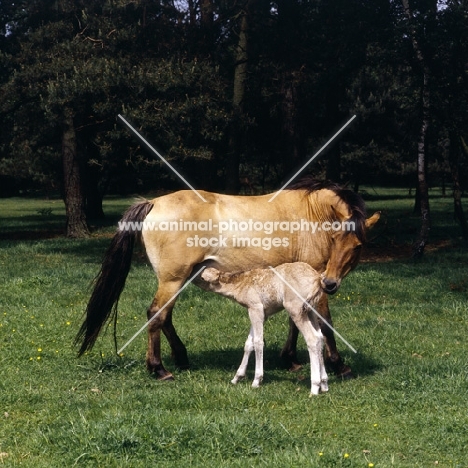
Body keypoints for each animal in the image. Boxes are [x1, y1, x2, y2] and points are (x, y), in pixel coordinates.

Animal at [196, 264, 328, 394]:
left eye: (202, 277)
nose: (194, 279)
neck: (241, 284)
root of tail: (317, 279)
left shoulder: (255, 307)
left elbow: (258, 342)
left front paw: (256, 381)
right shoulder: (263, 313)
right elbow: (248, 343)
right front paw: (236, 378)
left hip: (295, 308)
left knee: (312, 338)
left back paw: (314, 387)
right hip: (310, 310)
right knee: (319, 336)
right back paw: (324, 384)